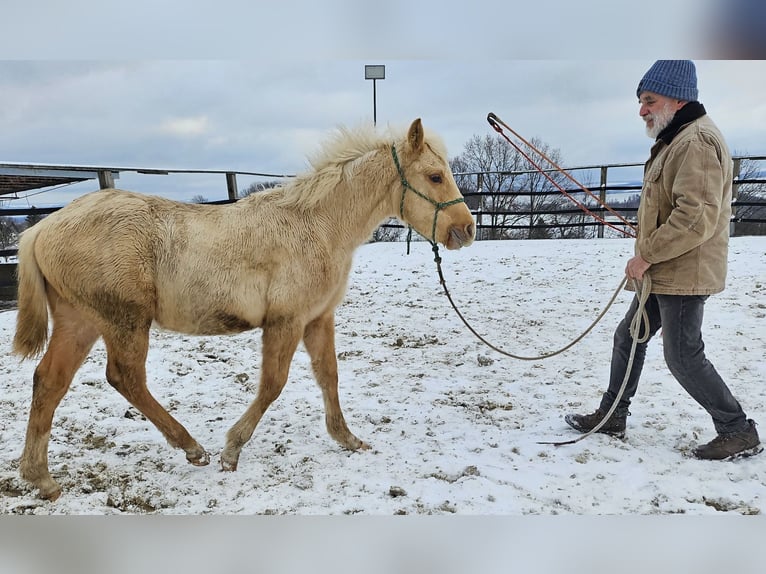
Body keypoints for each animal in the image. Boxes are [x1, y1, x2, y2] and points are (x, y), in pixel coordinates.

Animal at [12, 118, 475, 500]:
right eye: (435, 176)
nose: (466, 230)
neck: (317, 226)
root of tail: (41, 229)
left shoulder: (317, 319)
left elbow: (329, 376)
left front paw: (348, 439)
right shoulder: (285, 321)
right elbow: (273, 384)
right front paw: (231, 451)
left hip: (80, 321)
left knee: (49, 381)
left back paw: (42, 480)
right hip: (124, 321)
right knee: (124, 378)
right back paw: (191, 448)